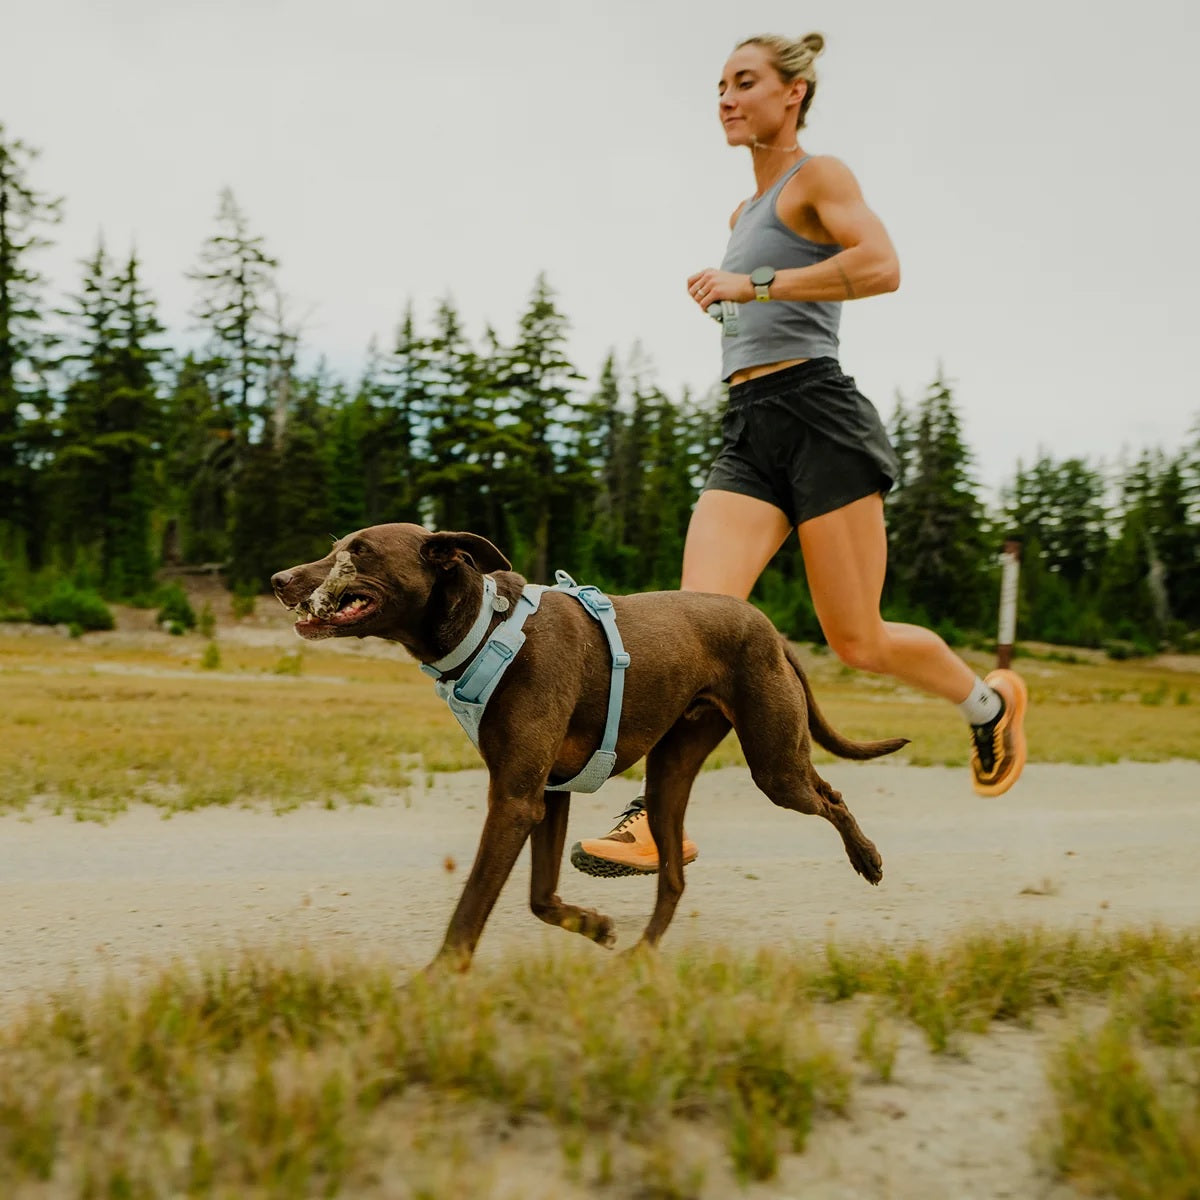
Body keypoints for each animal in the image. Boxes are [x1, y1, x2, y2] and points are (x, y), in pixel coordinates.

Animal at [271, 523, 906, 970]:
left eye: (360, 551)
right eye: (337, 548)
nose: (278, 580)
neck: (485, 628)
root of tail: (768, 627)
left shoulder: (515, 801)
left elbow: (472, 904)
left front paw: (437, 979)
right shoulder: (547, 794)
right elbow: (539, 898)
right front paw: (597, 927)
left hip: (774, 765)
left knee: (831, 796)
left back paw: (868, 858)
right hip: (672, 776)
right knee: (675, 878)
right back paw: (641, 956)